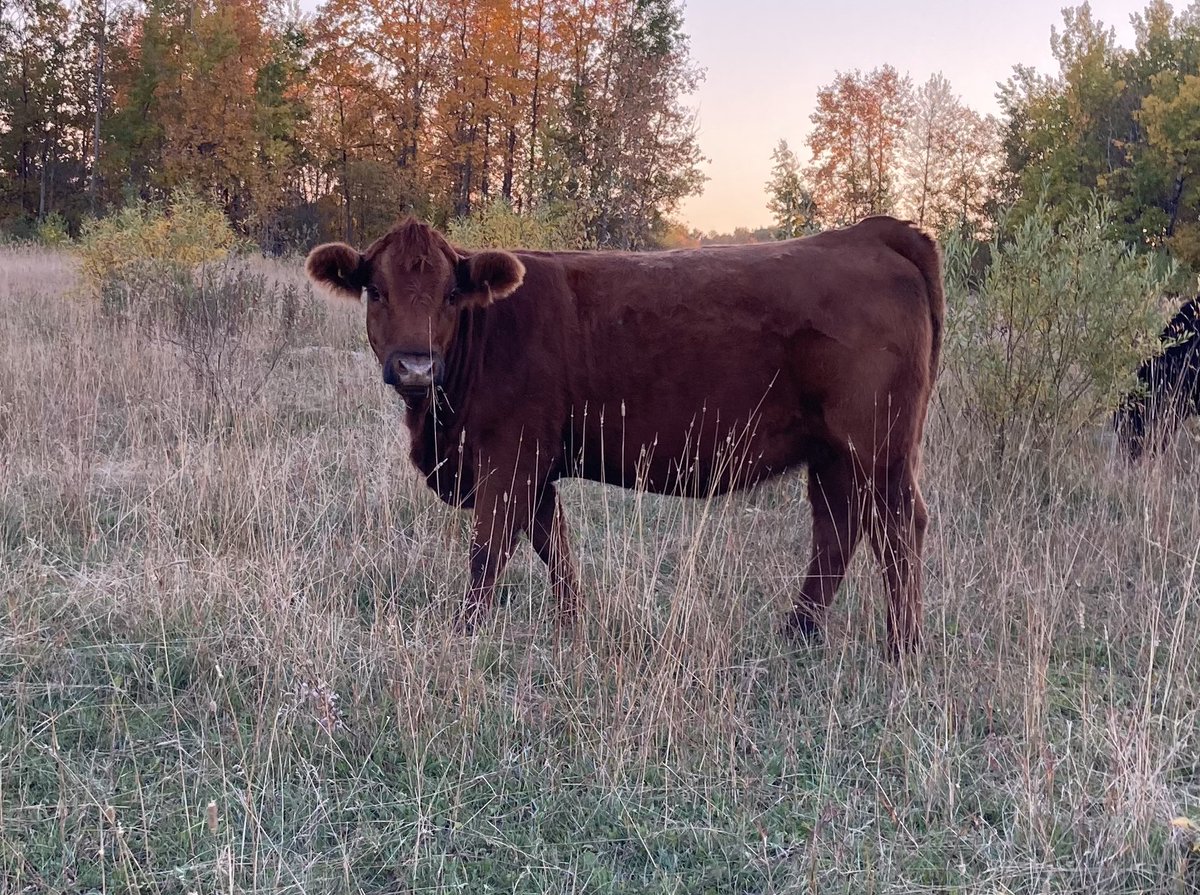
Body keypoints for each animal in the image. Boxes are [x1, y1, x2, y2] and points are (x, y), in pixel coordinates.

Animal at [305, 216, 944, 658]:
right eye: (376, 290)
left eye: (450, 294)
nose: (415, 366)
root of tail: (869, 234)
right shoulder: (536, 467)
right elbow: (554, 548)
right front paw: (572, 627)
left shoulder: (509, 457)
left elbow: (488, 550)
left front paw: (466, 633)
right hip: (833, 455)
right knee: (837, 530)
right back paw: (799, 634)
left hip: (878, 448)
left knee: (897, 529)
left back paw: (902, 649)